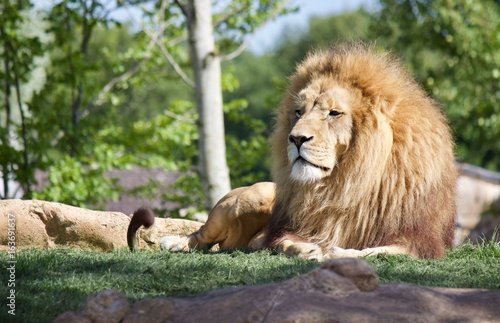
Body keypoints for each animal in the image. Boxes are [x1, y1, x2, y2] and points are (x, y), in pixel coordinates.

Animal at [128, 43, 458, 260]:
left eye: (334, 113)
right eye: (299, 111)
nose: (296, 138)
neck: (346, 183)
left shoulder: (420, 241)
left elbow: (375, 252)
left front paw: (339, 252)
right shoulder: (285, 230)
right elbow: (284, 242)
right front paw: (310, 249)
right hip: (250, 198)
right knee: (199, 235)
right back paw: (172, 242)